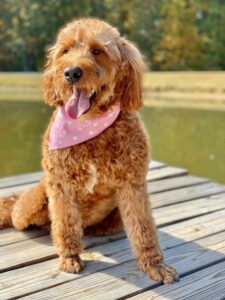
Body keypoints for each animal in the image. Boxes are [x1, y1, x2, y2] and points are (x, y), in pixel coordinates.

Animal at [0, 18, 178, 284]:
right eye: (65, 51)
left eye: (97, 51)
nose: (71, 73)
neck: (89, 125)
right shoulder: (60, 185)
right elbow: (65, 225)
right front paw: (69, 257)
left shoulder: (133, 185)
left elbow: (144, 229)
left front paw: (154, 265)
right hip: (29, 206)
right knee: (22, 215)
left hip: (115, 215)